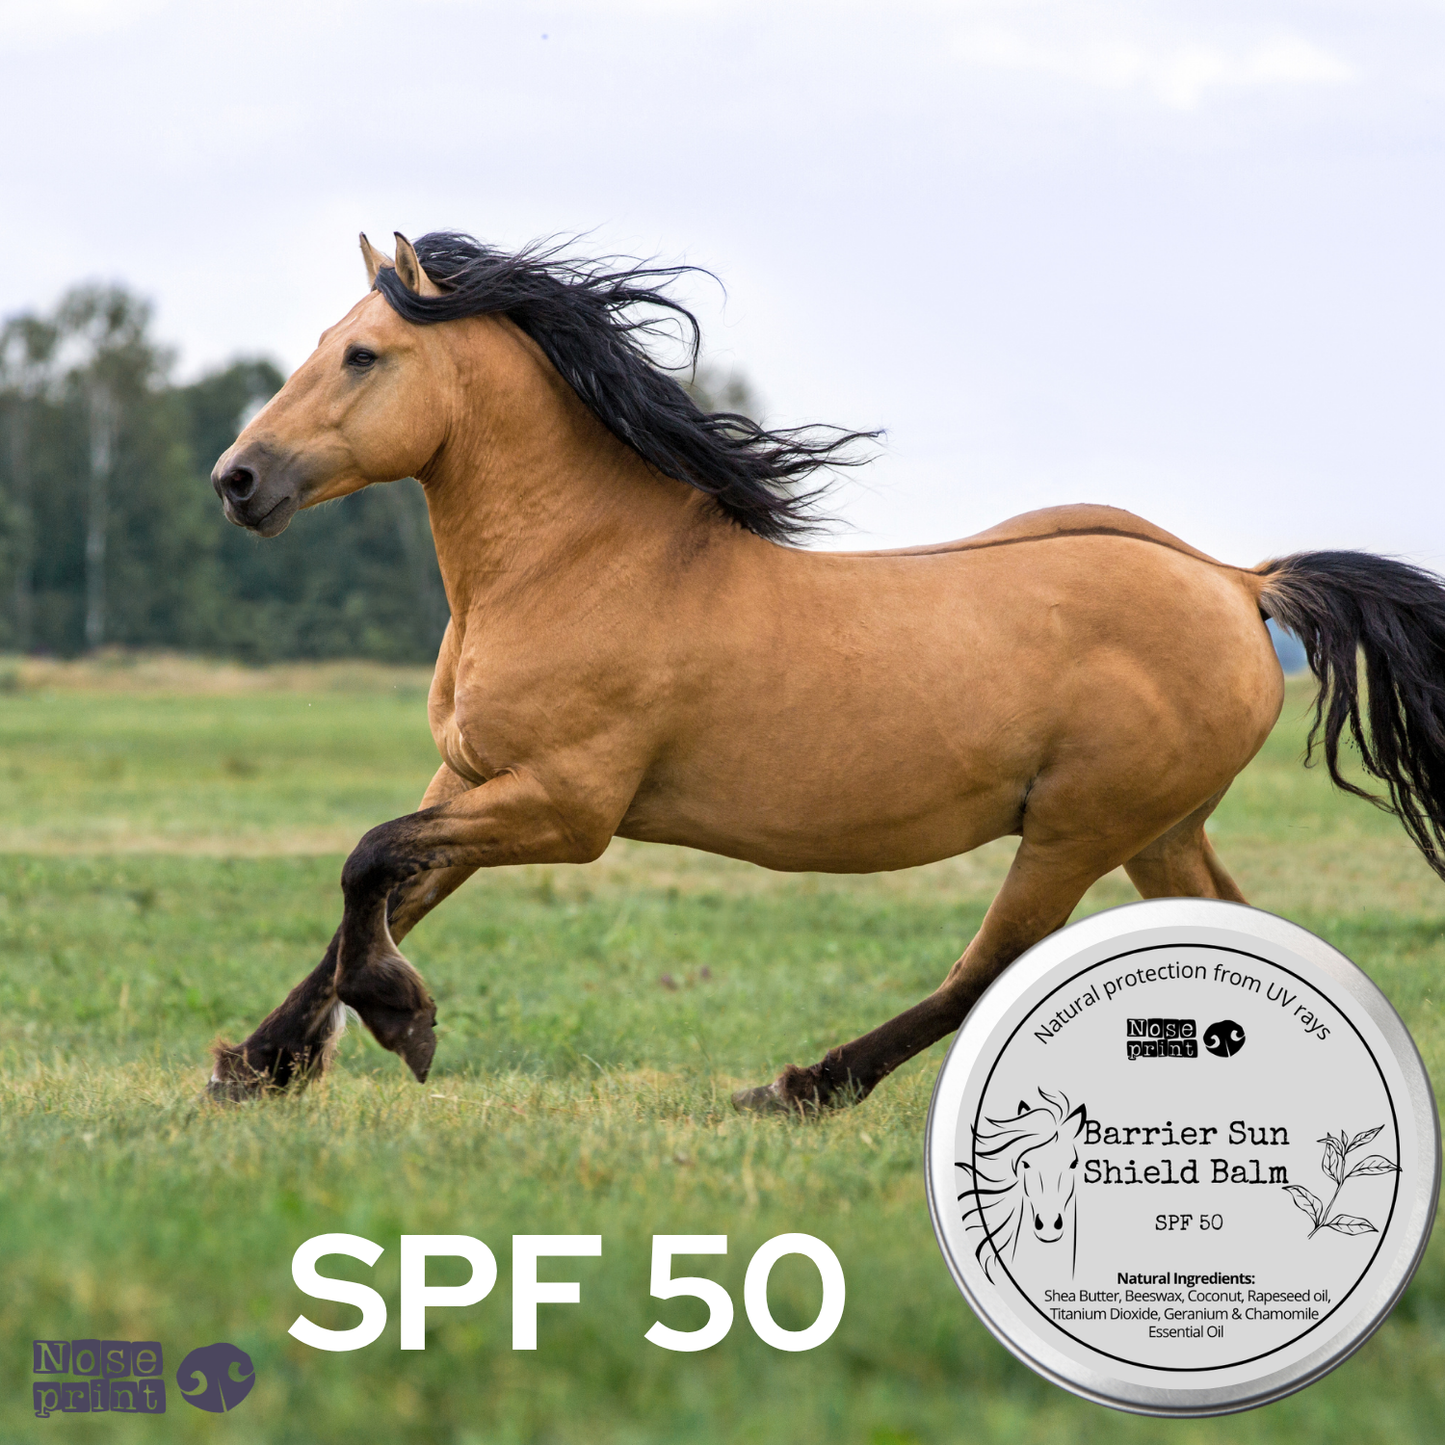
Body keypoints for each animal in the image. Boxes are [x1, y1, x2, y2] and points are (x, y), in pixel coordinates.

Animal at [206, 229, 1445, 1113]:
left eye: (362, 354)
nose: (237, 479)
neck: (578, 562)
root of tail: (1238, 583)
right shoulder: (473, 780)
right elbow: (384, 890)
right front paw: (260, 1064)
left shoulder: (565, 806)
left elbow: (369, 863)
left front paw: (396, 1022)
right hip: (1157, 829)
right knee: (1228, 925)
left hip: (1078, 826)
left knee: (986, 966)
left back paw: (799, 1085)